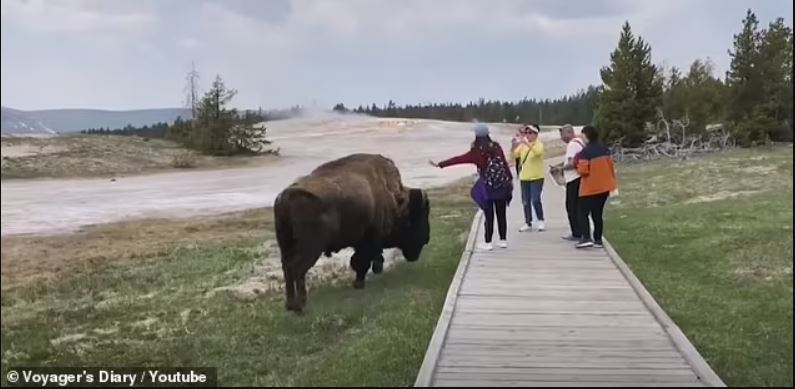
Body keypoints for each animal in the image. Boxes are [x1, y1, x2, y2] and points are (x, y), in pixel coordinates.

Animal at [276, 153, 432, 310]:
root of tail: (286, 196)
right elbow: (361, 261)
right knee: (297, 269)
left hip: (286, 245)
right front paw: (359, 283)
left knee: (287, 267)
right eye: (419, 217)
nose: (426, 238)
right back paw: (300, 305)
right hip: (311, 247)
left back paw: (290, 305)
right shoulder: (368, 240)